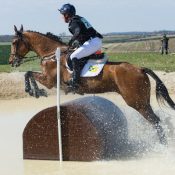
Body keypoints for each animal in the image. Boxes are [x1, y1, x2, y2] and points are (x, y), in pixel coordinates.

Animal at [8, 25, 175, 145]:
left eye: (14, 42)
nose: (11, 61)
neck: (51, 54)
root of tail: (140, 68)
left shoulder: (50, 81)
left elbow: (28, 73)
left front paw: (34, 91)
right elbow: (28, 73)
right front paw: (35, 91)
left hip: (136, 102)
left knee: (155, 121)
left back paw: (162, 146)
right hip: (143, 100)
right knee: (155, 120)